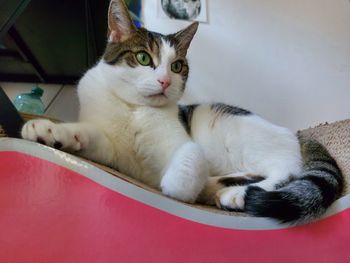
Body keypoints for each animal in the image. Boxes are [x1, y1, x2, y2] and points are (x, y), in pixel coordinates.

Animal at [20, 0, 344, 225]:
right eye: (143, 58)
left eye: (177, 66)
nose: (165, 80)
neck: (135, 109)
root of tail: (296, 134)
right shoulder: (112, 152)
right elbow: (89, 135)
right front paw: (50, 130)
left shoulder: (181, 142)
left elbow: (191, 155)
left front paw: (177, 187)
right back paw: (219, 186)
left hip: (227, 125)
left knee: (286, 168)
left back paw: (234, 193)